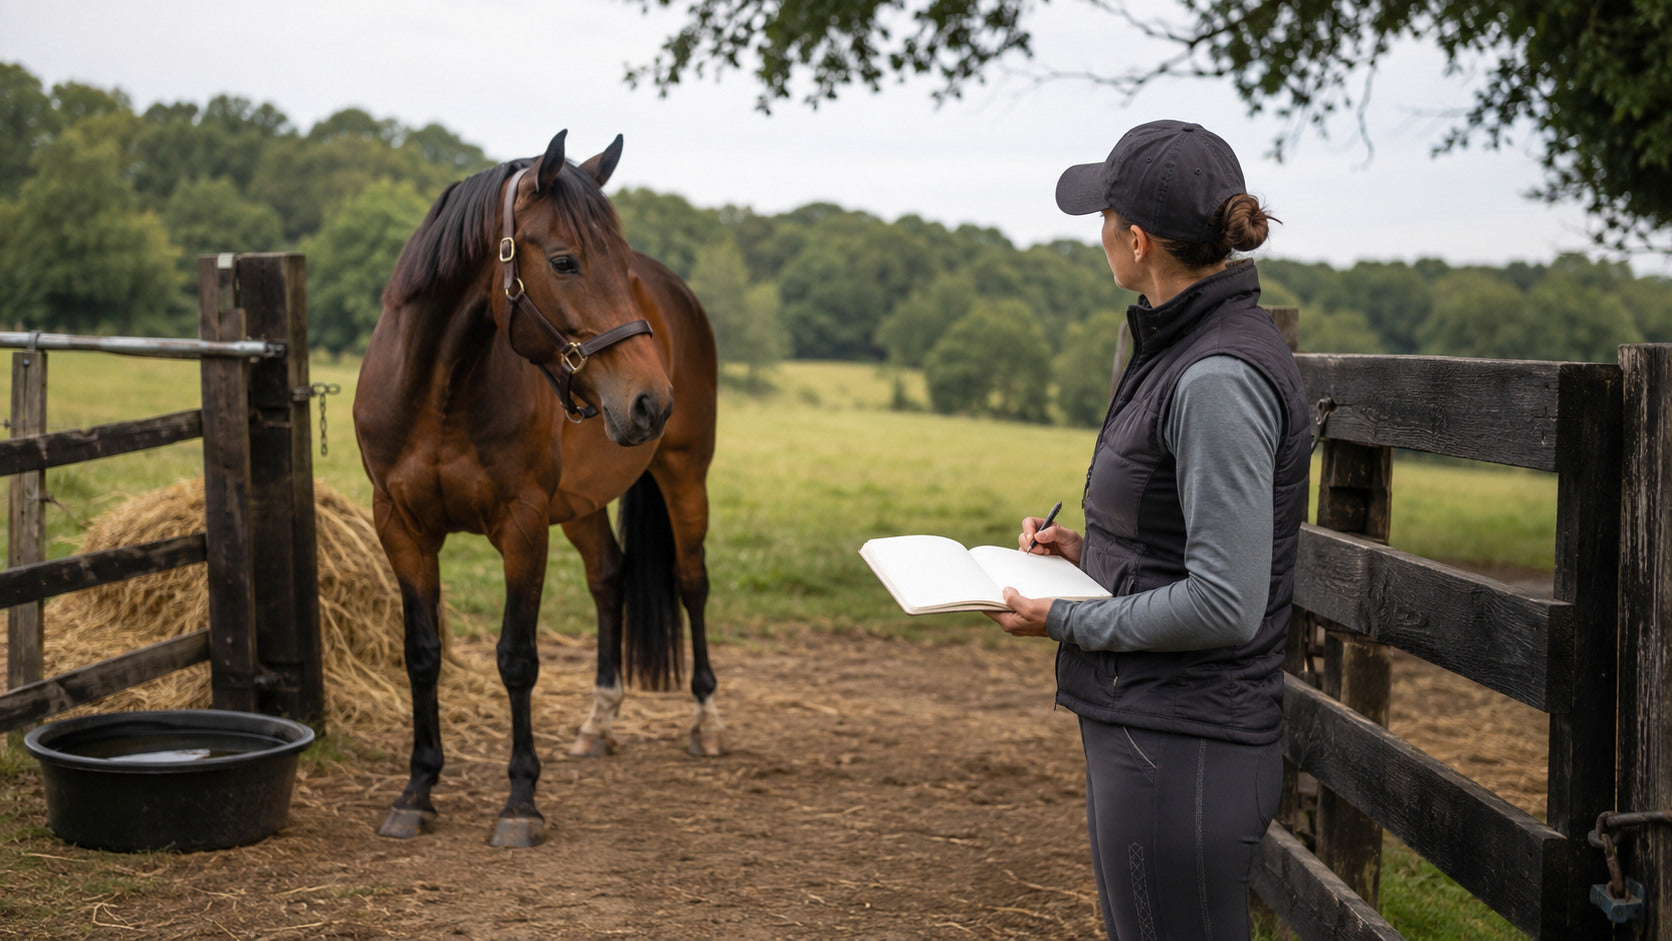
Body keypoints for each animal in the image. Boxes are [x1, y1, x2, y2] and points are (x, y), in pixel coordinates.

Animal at [352, 130, 721, 848]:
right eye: (564, 261)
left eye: (620, 263)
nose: (651, 401)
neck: (439, 390)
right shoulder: (401, 527)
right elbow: (421, 654)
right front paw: (417, 789)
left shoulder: (522, 527)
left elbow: (517, 657)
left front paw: (521, 801)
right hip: (579, 503)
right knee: (609, 577)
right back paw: (599, 723)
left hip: (685, 474)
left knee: (692, 582)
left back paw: (706, 720)